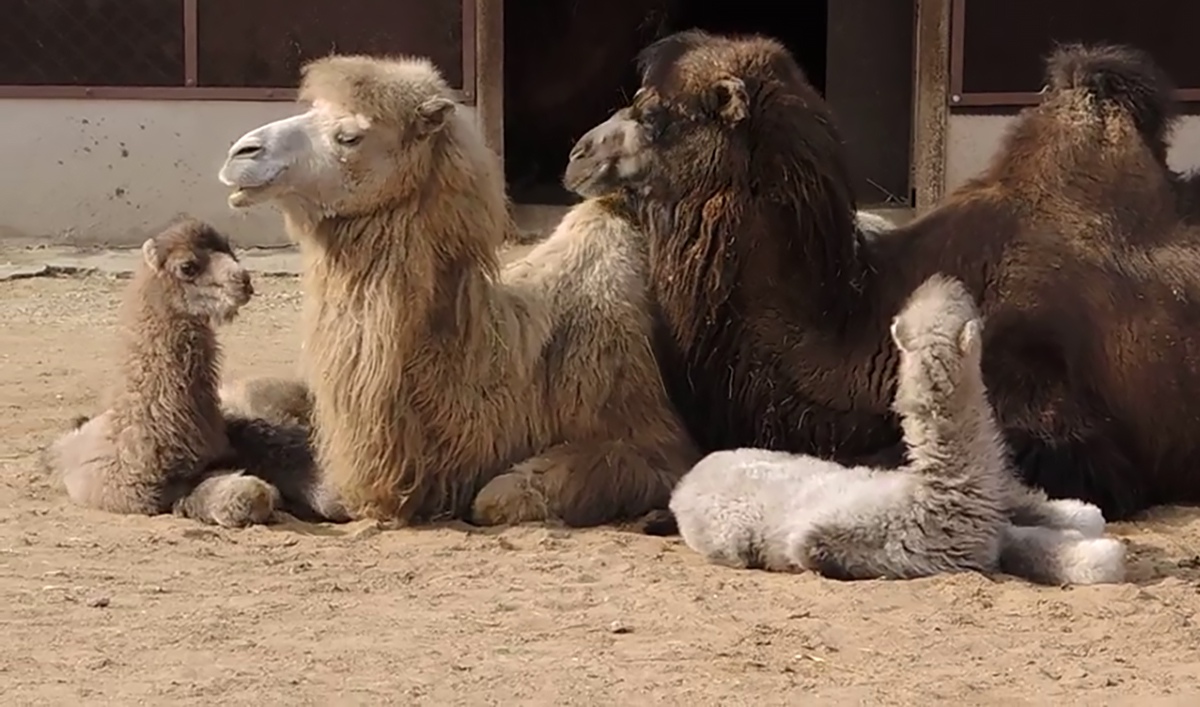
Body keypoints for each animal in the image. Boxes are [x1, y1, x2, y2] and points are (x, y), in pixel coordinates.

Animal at [672, 272, 1128, 580]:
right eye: (963, 309)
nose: (948, 282)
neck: (938, 493)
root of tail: (684, 484)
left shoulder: (987, 529)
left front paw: (1084, 525)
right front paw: (1100, 551)